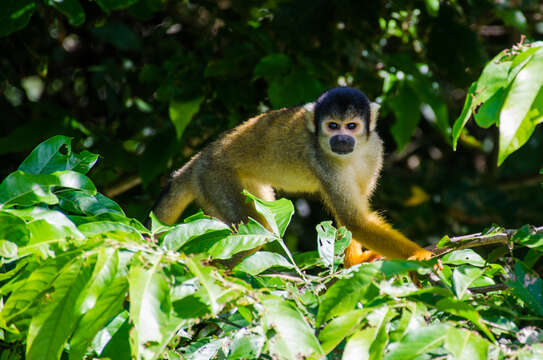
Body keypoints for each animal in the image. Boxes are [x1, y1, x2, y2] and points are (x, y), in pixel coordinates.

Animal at [153, 87, 434, 268]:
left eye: (351, 126)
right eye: (332, 126)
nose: (341, 139)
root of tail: (199, 159)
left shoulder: (375, 150)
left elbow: (355, 214)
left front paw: (352, 261)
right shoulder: (322, 161)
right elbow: (354, 220)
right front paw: (419, 254)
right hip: (214, 179)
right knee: (257, 231)